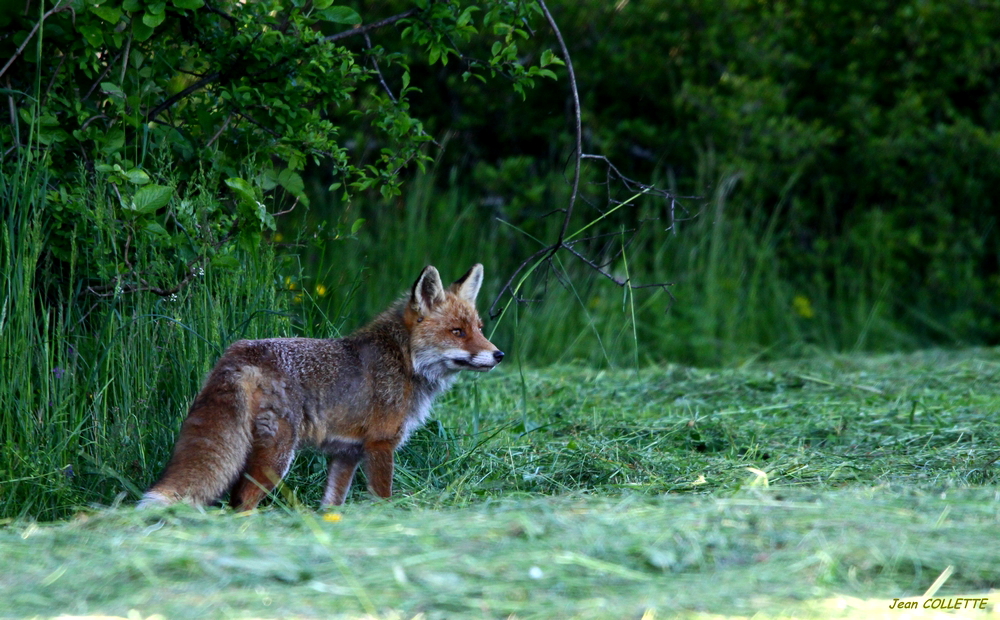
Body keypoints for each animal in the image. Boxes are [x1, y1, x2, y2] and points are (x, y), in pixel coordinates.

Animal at [137, 264, 504, 512]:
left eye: (479, 328)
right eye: (457, 332)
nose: (498, 354)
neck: (404, 359)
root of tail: (239, 352)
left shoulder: (346, 454)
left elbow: (332, 504)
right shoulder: (380, 444)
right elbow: (383, 497)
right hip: (277, 457)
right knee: (242, 502)